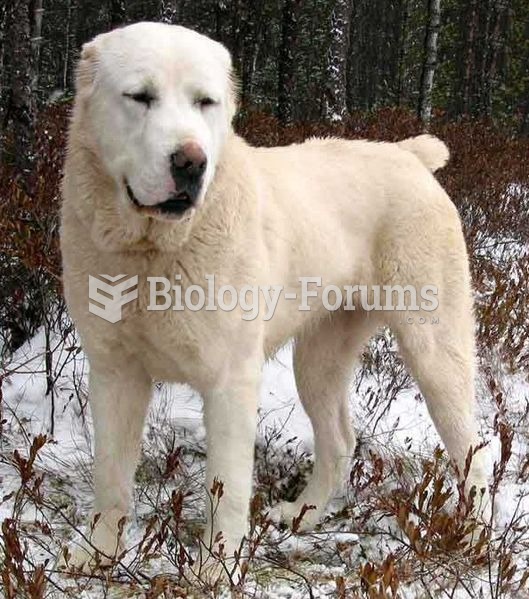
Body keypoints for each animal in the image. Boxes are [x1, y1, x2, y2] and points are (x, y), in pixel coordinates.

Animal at [59, 22, 488, 572]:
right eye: (140, 97)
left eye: (205, 101)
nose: (191, 162)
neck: (153, 252)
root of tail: (408, 154)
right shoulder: (115, 372)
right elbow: (110, 477)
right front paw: (98, 552)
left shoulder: (230, 379)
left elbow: (226, 488)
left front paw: (216, 568)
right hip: (318, 359)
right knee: (340, 440)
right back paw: (305, 513)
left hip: (434, 349)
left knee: (472, 449)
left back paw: (472, 536)